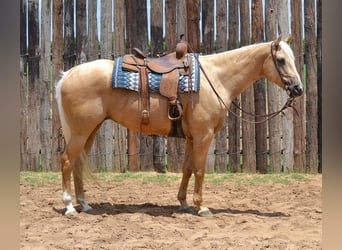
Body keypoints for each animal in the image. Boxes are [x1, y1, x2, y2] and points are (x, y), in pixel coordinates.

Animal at [56, 36, 304, 216]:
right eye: (280, 60)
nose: (298, 88)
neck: (215, 78)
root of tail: (67, 75)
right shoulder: (204, 135)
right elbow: (200, 169)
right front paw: (202, 207)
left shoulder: (192, 137)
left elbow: (187, 169)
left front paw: (183, 203)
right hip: (79, 132)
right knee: (67, 161)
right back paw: (69, 207)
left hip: (90, 130)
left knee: (78, 163)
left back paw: (84, 204)